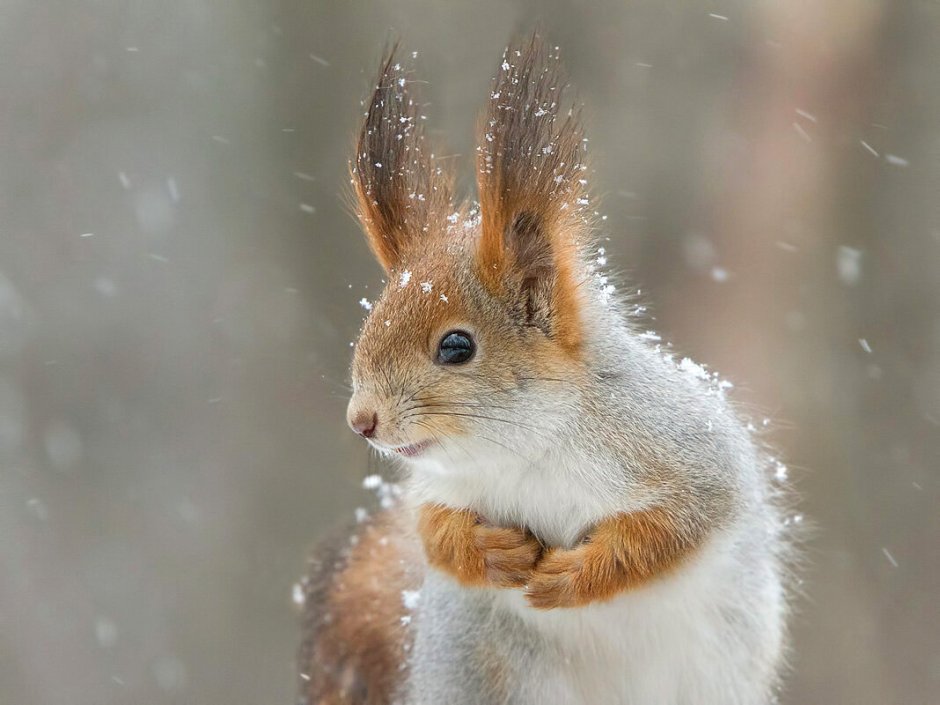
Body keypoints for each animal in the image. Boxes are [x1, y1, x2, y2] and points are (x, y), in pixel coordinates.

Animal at [296, 31, 792, 704]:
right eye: (368, 328)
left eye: (456, 346)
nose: (362, 421)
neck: (524, 451)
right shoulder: (441, 486)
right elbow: (430, 529)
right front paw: (486, 551)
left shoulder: (683, 452)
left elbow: (675, 527)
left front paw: (576, 575)